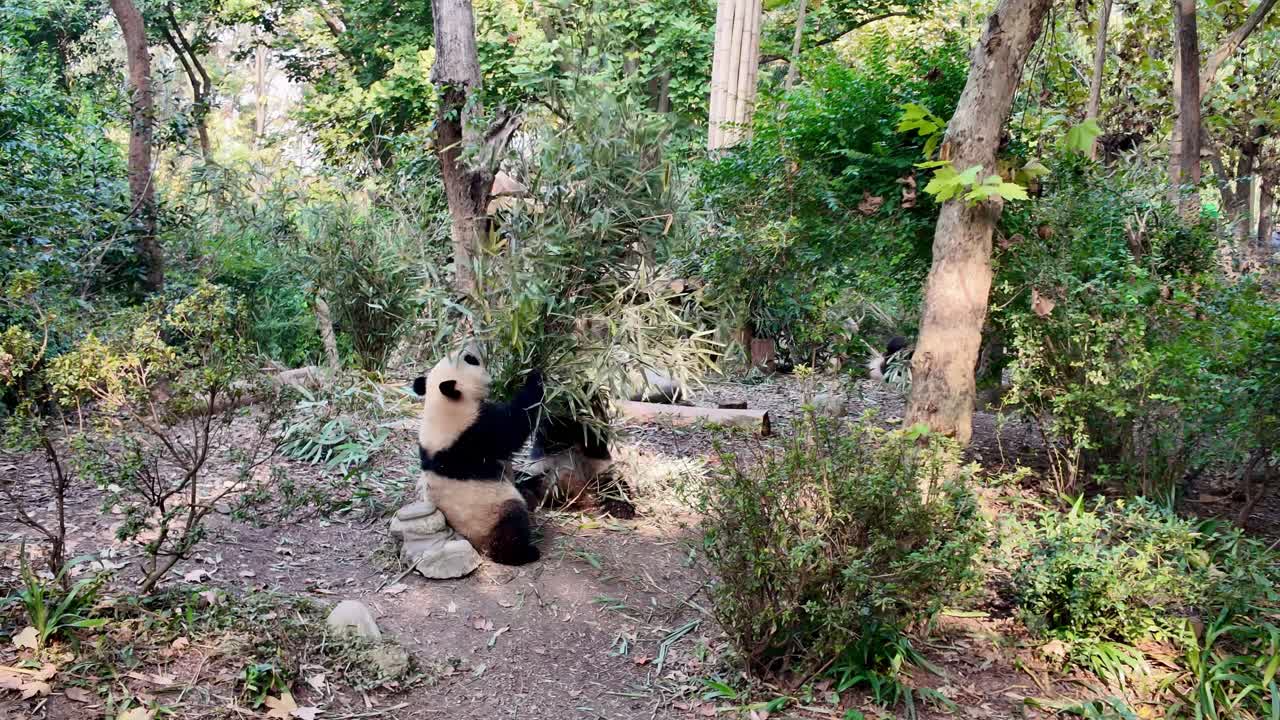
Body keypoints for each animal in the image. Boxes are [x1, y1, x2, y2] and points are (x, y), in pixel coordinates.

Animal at [413, 347, 544, 566]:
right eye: (470, 359)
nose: (476, 345)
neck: (441, 404)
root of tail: (473, 542)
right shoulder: (474, 431)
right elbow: (513, 425)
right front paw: (535, 375)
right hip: (490, 514)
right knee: (513, 521)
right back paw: (523, 553)